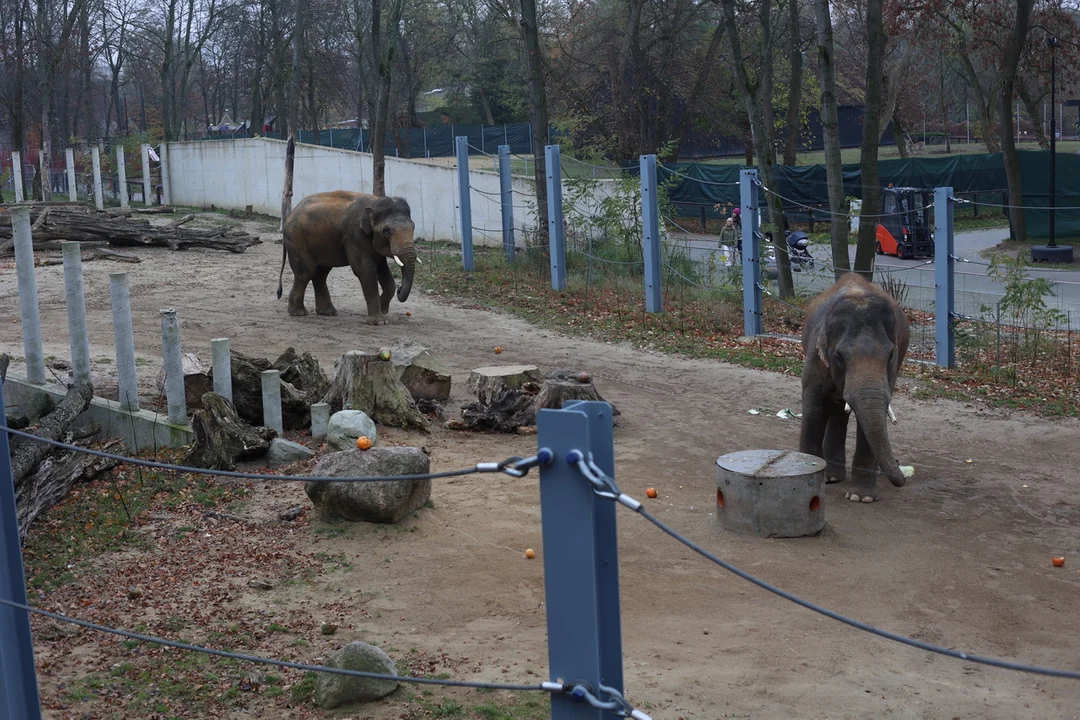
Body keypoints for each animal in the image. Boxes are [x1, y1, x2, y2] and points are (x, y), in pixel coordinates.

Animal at [274, 191, 416, 325]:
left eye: (413, 227)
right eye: (386, 231)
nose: (400, 289)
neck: (375, 201)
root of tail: (290, 214)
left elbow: (382, 270)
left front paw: (383, 309)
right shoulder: (355, 236)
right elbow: (365, 270)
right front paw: (380, 322)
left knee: (320, 274)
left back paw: (328, 313)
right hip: (297, 239)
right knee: (305, 273)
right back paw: (298, 313)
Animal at [799, 273, 907, 505]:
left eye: (890, 354)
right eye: (839, 356)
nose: (902, 477)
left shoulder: (892, 369)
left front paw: (861, 497)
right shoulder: (814, 358)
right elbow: (813, 406)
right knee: (837, 407)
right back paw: (830, 477)